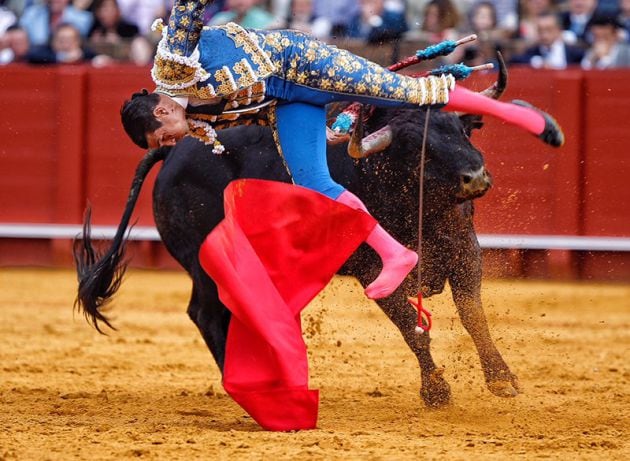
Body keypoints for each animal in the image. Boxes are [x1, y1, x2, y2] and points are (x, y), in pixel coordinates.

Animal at [76, 107, 524, 406]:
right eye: (417, 147)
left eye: (461, 131)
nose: (475, 177)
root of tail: (173, 152)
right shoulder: (371, 268)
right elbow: (410, 326)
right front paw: (435, 390)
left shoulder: (464, 250)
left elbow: (473, 316)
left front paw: (502, 379)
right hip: (206, 262)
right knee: (207, 314)